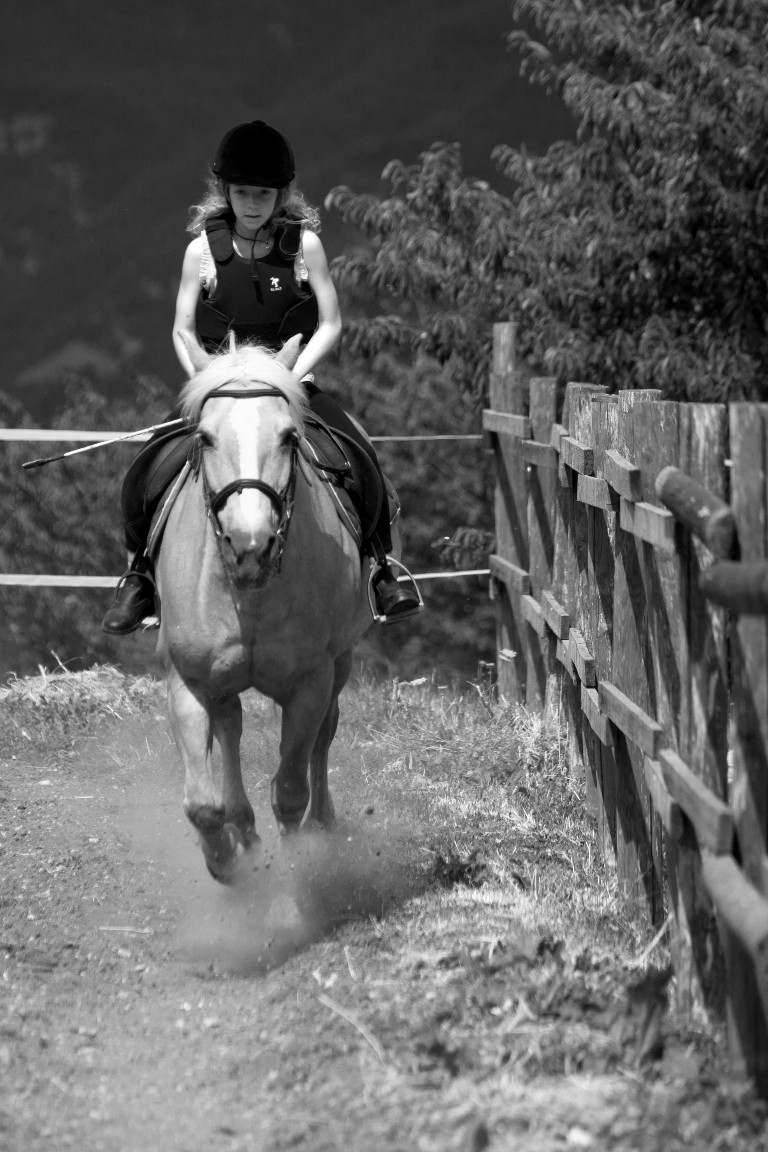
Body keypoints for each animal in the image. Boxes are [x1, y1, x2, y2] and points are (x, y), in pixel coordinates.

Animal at [156, 334, 389, 881]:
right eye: (205, 437)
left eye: (288, 437)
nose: (250, 545)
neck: (249, 595)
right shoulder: (189, 682)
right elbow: (202, 803)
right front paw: (227, 863)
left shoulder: (310, 683)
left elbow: (290, 791)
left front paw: (298, 865)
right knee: (231, 727)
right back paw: (244, 832)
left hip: (340, 662)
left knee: (325, 735)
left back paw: (321, 823)